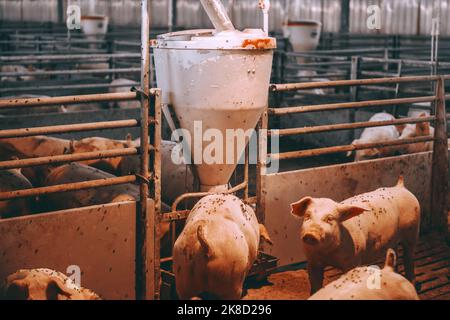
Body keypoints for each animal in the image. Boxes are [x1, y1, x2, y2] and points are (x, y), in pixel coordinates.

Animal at [290, 178, 420, 296]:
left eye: (330, 218)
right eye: (307, 216)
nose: (310, 234)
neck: (328, 253)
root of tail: (400, 186)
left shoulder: (353, 259)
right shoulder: (312, 262)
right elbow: (315, 285)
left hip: (412, 231)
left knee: (409, 257)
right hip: (393, 240)